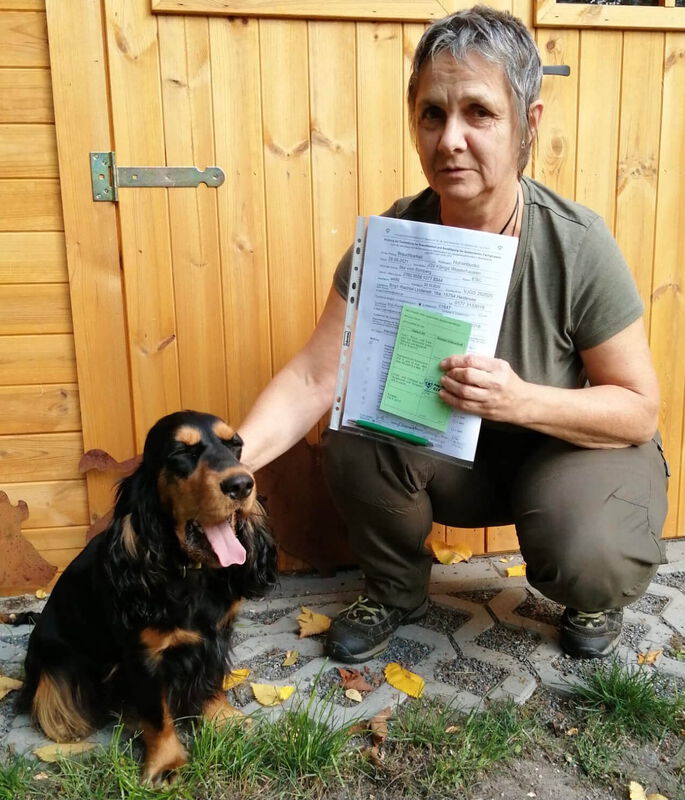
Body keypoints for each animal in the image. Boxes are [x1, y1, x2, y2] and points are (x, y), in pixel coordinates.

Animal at [18, 410, 277, 784]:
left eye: (235, 444)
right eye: (181, 452)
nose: (242, 484)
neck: (190, 571)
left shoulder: (216, 636)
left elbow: (211, 680)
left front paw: (225, 721)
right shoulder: (143, 655)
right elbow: (157, 713)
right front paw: (166, 764)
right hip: (56, 659)